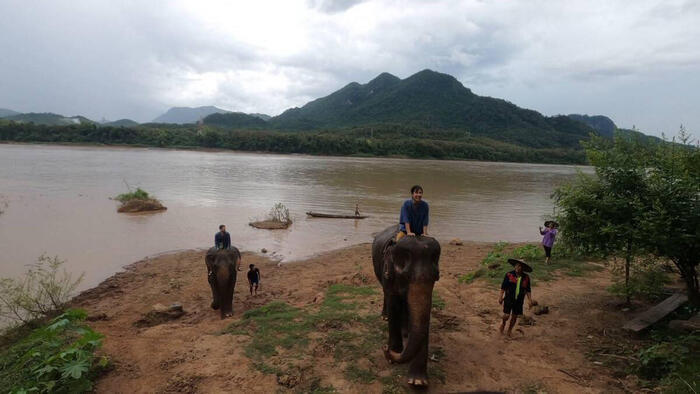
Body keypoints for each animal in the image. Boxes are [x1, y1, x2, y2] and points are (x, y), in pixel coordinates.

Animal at [370, 225, 440, 388]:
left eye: (436, 276)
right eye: (405, 275)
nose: (385, 349)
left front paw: (418, 382)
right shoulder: (388, 271)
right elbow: (393, 302)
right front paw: (395, 351)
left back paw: (406, 331)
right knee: (386, 294)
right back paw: (385, 317)